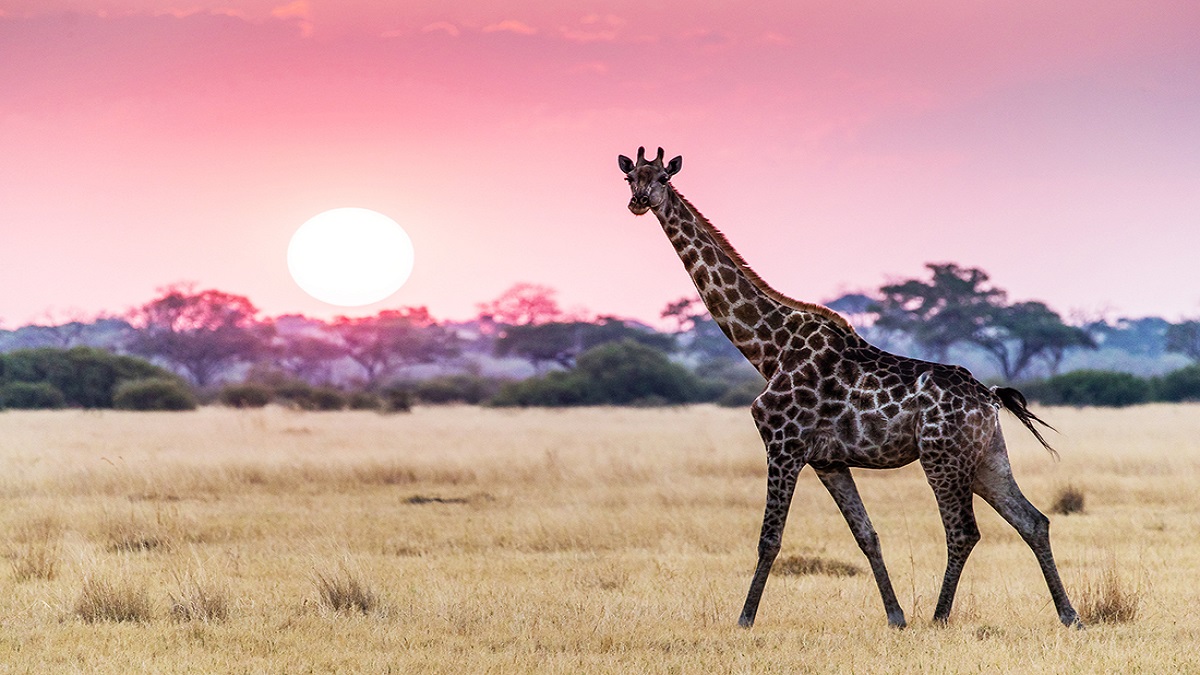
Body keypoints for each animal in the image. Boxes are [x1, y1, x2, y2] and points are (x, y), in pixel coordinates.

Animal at [618, 146, 1081, 629]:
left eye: (663, 179)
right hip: (988, 457)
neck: (769, 349)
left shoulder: (783, 446)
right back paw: (1069, 615)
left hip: (942, 457)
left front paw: (744, 619)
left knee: (963, 532)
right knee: (1032, 521)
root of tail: (989, 398)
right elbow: (867, 535)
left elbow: (770, 539)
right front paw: (895, 616)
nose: (638, 202)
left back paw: (939, 618)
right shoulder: (829, 461)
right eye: (630, 177)